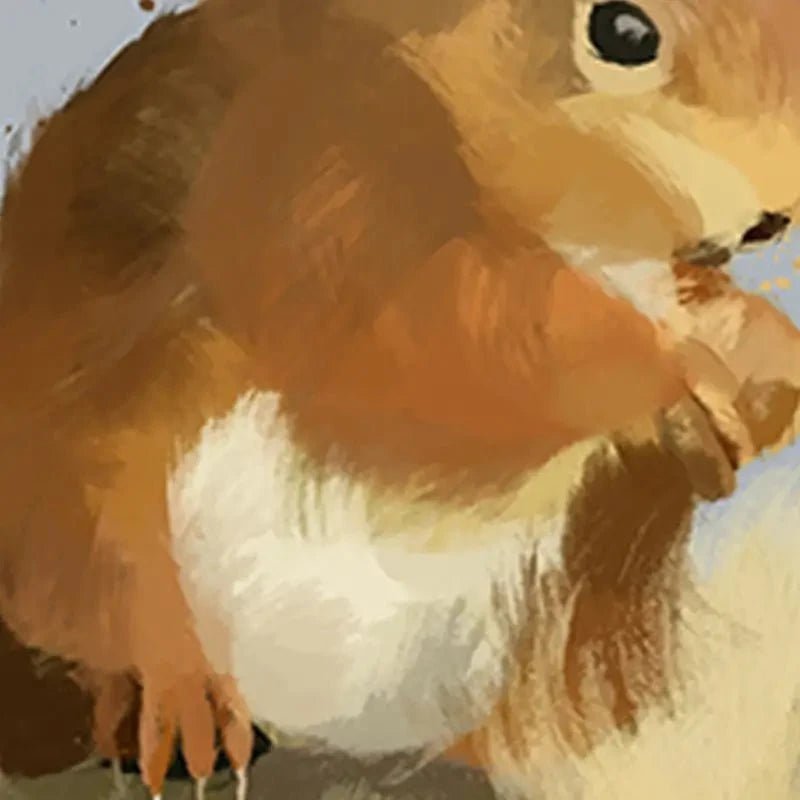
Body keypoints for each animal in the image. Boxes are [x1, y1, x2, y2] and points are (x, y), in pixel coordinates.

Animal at [0, 0, 799, 796]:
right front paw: (668, 359)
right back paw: (178, 707)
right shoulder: (318, 194)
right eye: (622, 31)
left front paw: (766, 361)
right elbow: (441, 351)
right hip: (90, 532)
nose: (778, 214)